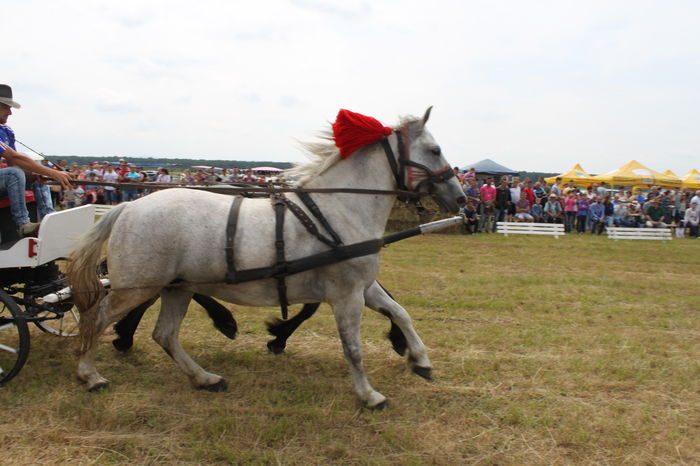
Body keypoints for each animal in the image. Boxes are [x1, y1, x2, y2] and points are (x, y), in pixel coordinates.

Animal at [67, 108, 465, 408]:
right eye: (435, 149)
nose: (461, 198)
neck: (339, 208)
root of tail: (129, 206)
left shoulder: (362, 288)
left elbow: (401, 312)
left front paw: (420, 359)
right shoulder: (346, 295)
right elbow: (352, 347)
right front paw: (369, 395)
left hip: (177, 287)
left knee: (164, 335)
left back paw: (205, 378)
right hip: (137, 286)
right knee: (95, 318)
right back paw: (91, 375)